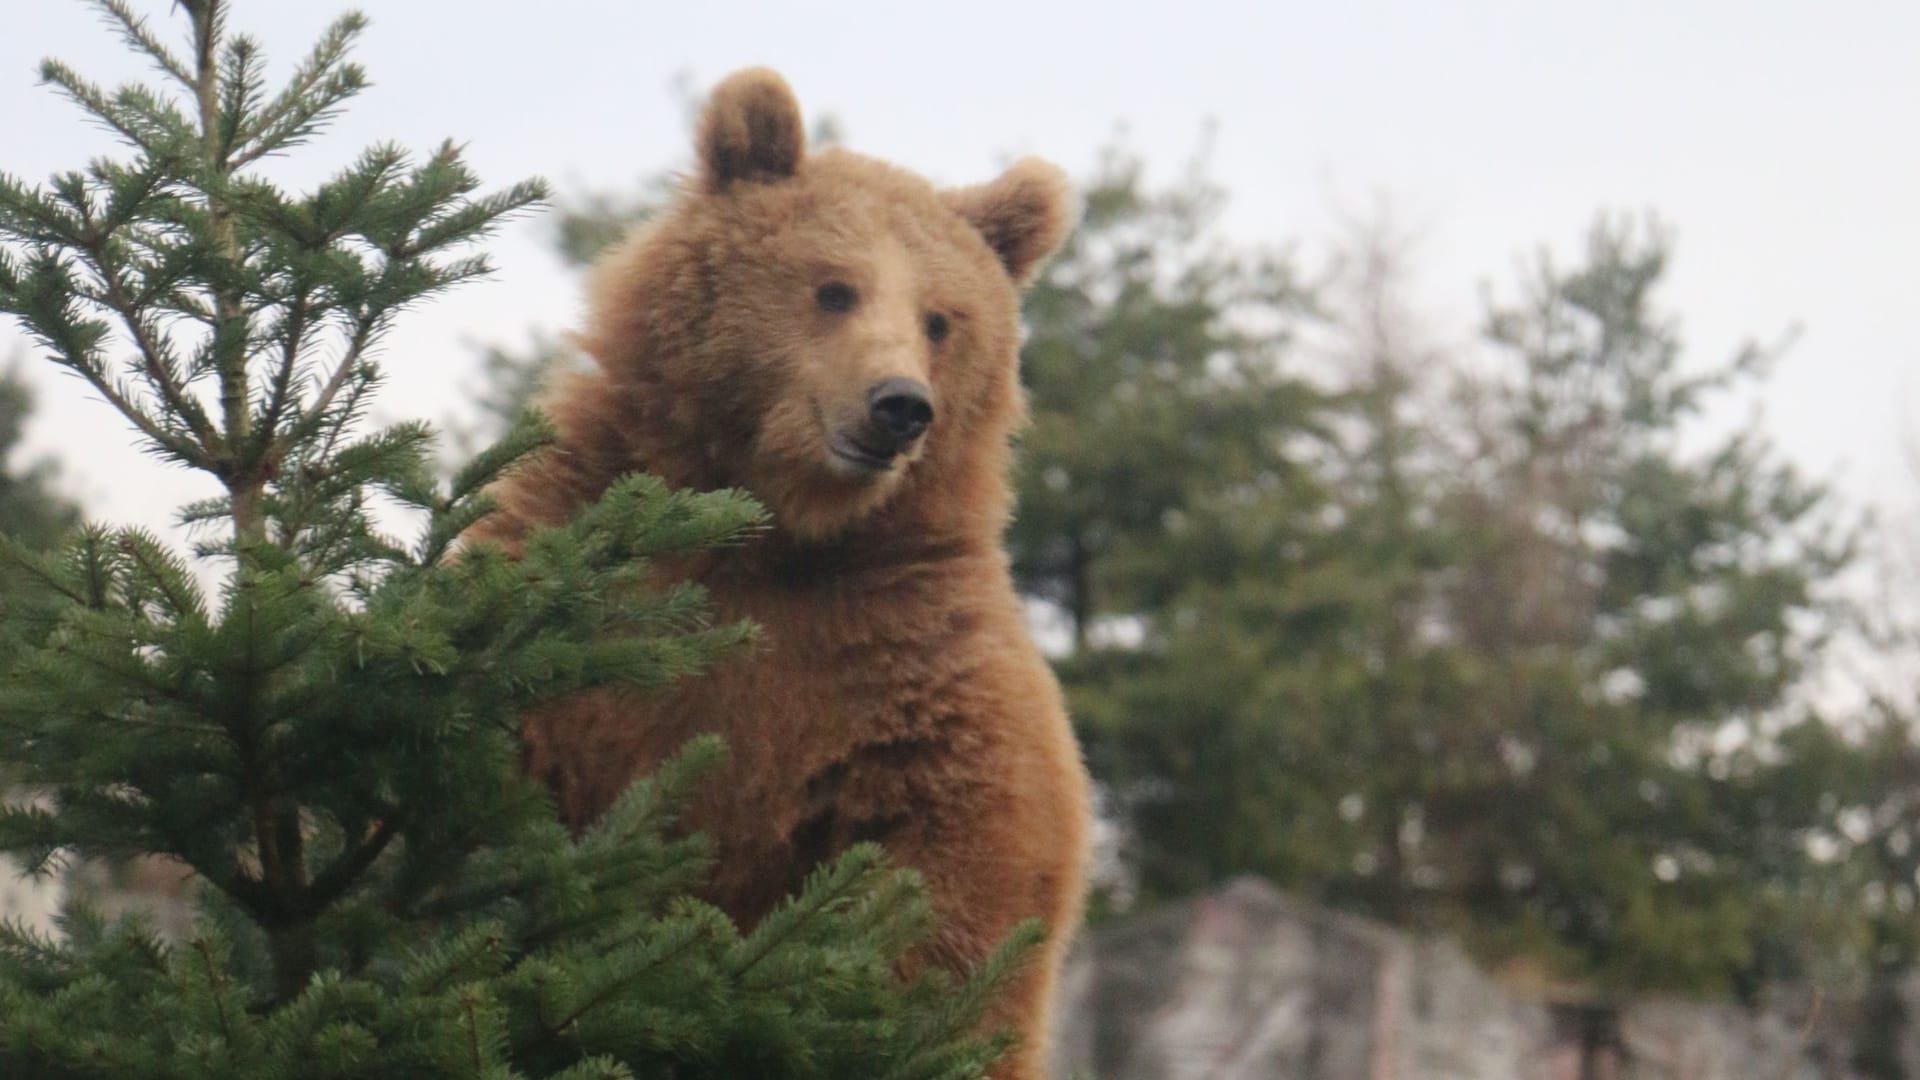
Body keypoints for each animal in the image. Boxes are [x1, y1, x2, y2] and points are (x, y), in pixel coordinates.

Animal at [468, 69, 1098, 1076]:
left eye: (941, 318)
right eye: (834, 287)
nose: (898, 406)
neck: (773, 529)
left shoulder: (908, 650)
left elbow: (972, 862)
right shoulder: (562, 579)